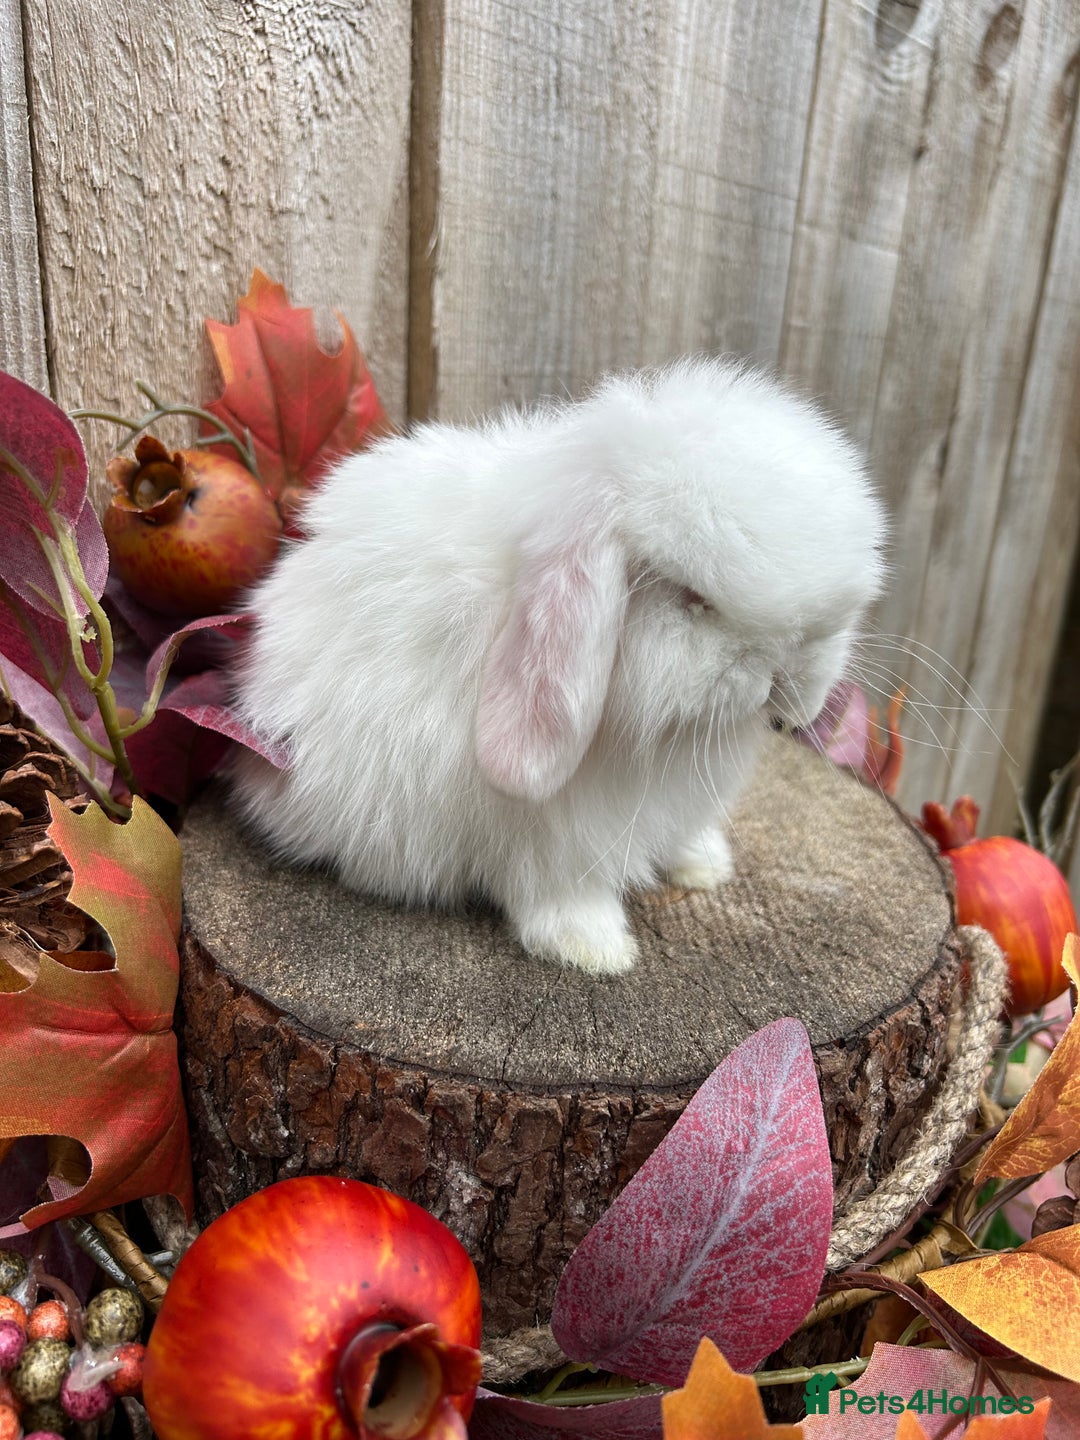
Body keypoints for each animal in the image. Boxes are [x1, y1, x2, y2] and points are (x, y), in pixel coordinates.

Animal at [229, 356, 887, 975]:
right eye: (691, 595)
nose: (791, 673)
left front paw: (705, 865)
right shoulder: (548, 837)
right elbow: (558, 890)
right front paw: (595, 950)